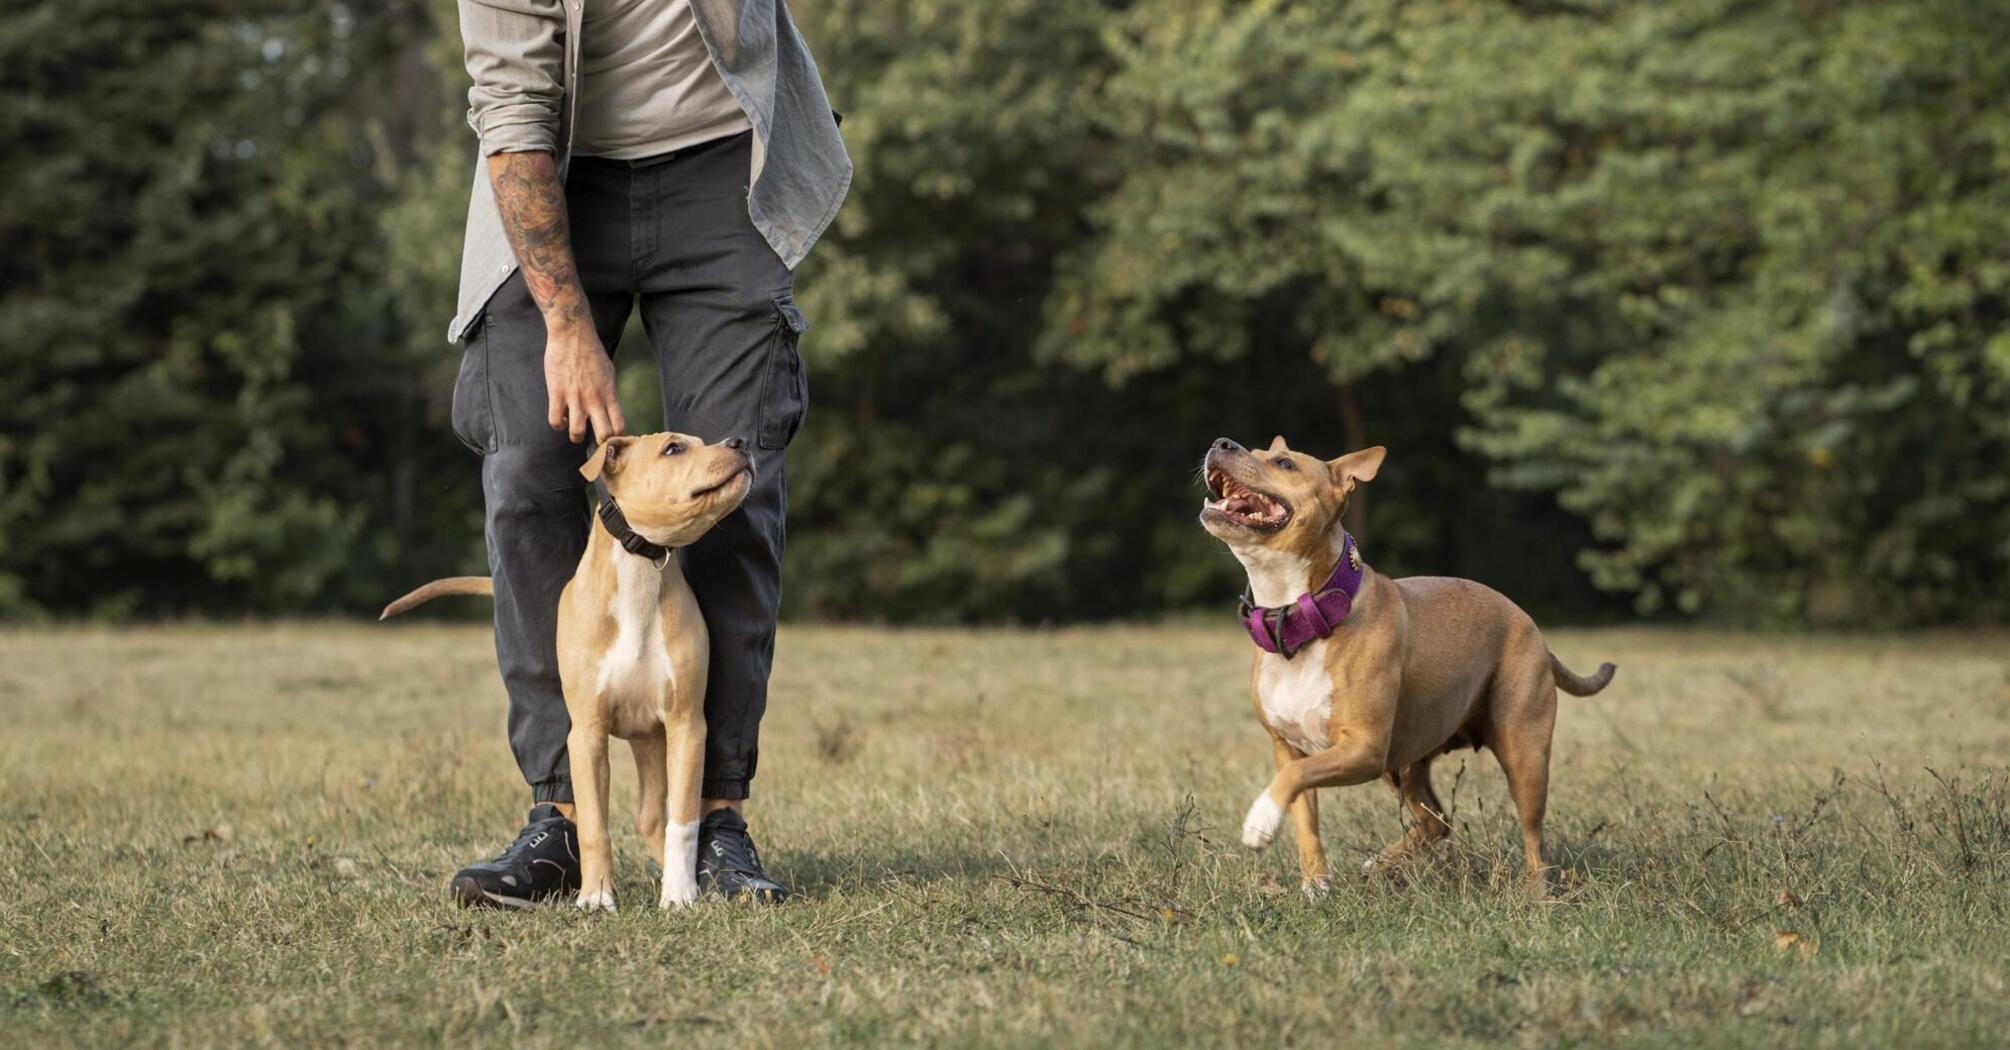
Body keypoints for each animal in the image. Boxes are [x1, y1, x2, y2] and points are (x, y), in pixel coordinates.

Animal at [379, 428, 751, 901]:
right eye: (673, 448)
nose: (740, 442)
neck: (640, 570)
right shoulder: (587, 732)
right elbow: (593, 823)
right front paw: (596, 896)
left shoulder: (687, 725)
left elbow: (683, 820)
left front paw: (679, 894)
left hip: (654, 740)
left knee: (655, 819)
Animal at [1189, 432, 1616, 889]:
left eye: (1285, 463)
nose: (1222, 442)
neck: (1298, 613)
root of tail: (1533, 627)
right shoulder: (1290, 747)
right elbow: (1305, 818)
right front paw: (1315, 885)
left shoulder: (1363, 748)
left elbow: (1290, 781)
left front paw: (1260, 821)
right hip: (1407, 762)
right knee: (1436, 821)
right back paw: (1381, 863)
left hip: (1524, 755)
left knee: (1534, 836)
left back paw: (1536, 892)